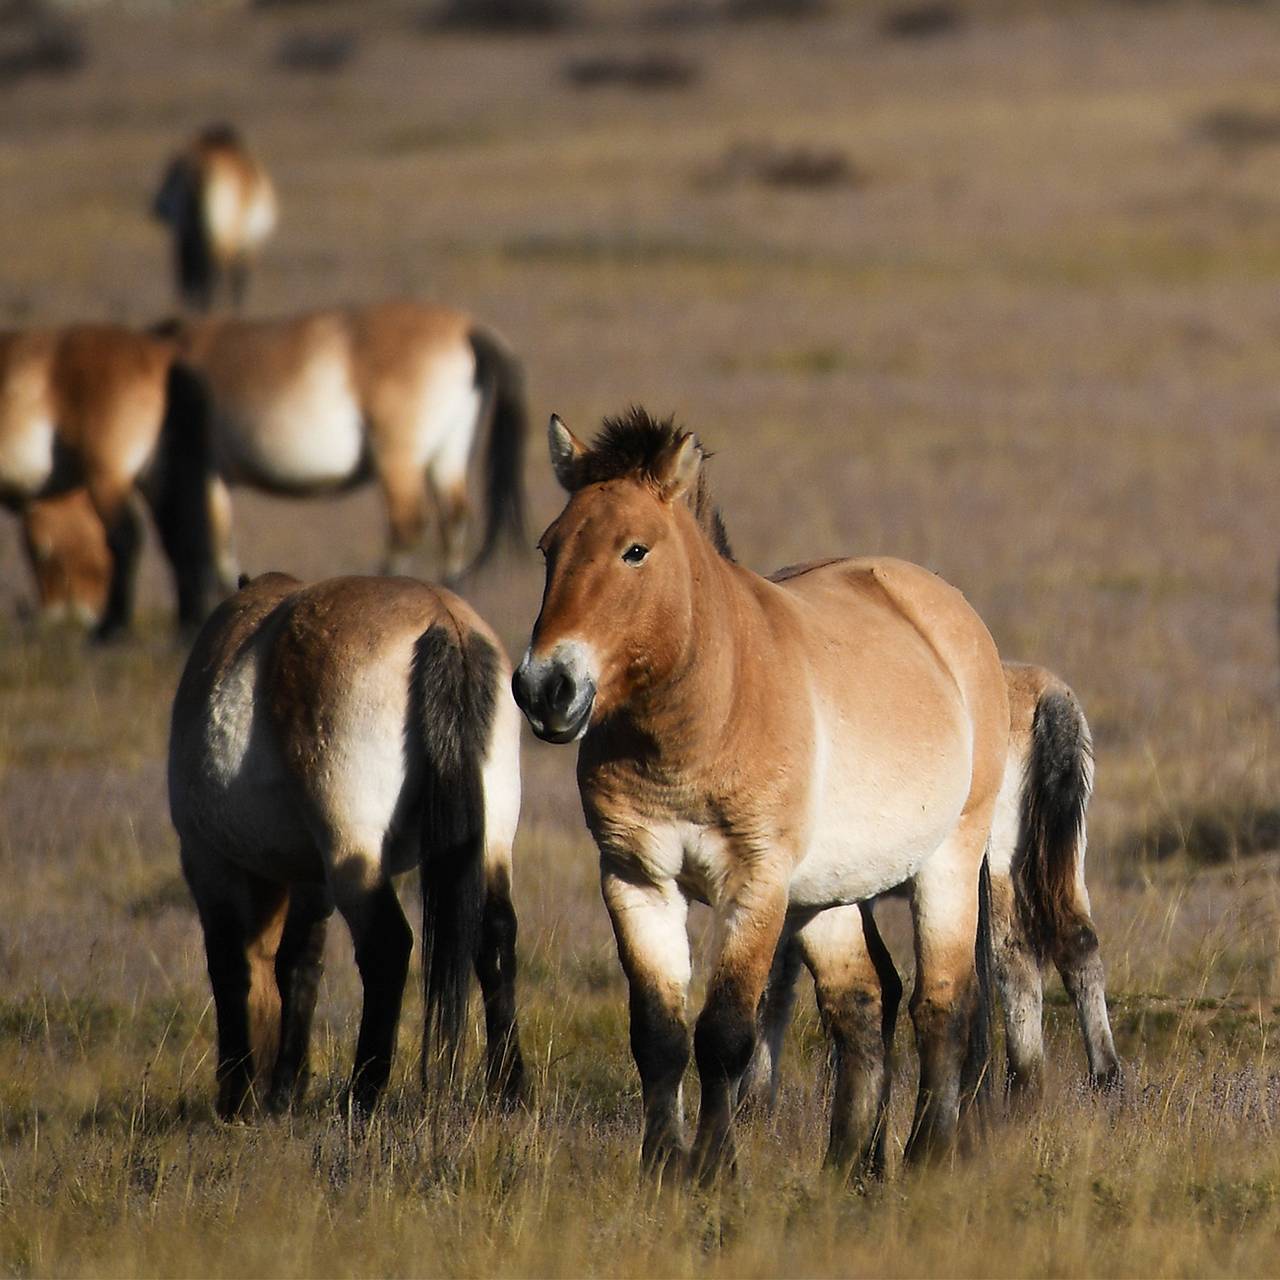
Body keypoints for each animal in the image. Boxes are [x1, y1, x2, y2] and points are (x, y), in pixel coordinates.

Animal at [0, 322, 215, 637]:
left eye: (41, 552)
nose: (52, 618)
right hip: (155, 478)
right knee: (177, 536)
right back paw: (187, 621)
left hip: (108, 477)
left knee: (125, 538)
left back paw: (111, 627)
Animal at [152, 123, 277, 313]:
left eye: (168, 172)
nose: (155, 207)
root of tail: (202, 166)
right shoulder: (248, 246)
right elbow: (239, 280)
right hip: (217, 239)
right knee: (212, 272)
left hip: (190, 237)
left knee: (193, 273)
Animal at [168, 573, 524, 1121]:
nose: (256, 1096)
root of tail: (444, 622)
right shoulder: (310, 879)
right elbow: (298, 967)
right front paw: (283, 1091)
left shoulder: (209, 864)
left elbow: (231, 969)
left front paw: (238, 1094)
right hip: (490, 844)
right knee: (496, 938)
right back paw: (510, 1091)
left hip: (352, 856)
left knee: (388, 946)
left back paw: (363, 1095)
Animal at [509, 409, 1008, 1177]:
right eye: (548, 549)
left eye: (634, 551)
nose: (544, 689)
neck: (702, 721)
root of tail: (944, 608)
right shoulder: (635, 879)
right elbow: (657, 1035)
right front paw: (662, 1168)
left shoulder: (755, 884)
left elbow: (724, 1036)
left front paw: (715, 1168)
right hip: (826, 896)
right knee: (862, 1005)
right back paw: (846, 1168)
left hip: (946, 861)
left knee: (941, 1005)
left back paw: (926, 1154)